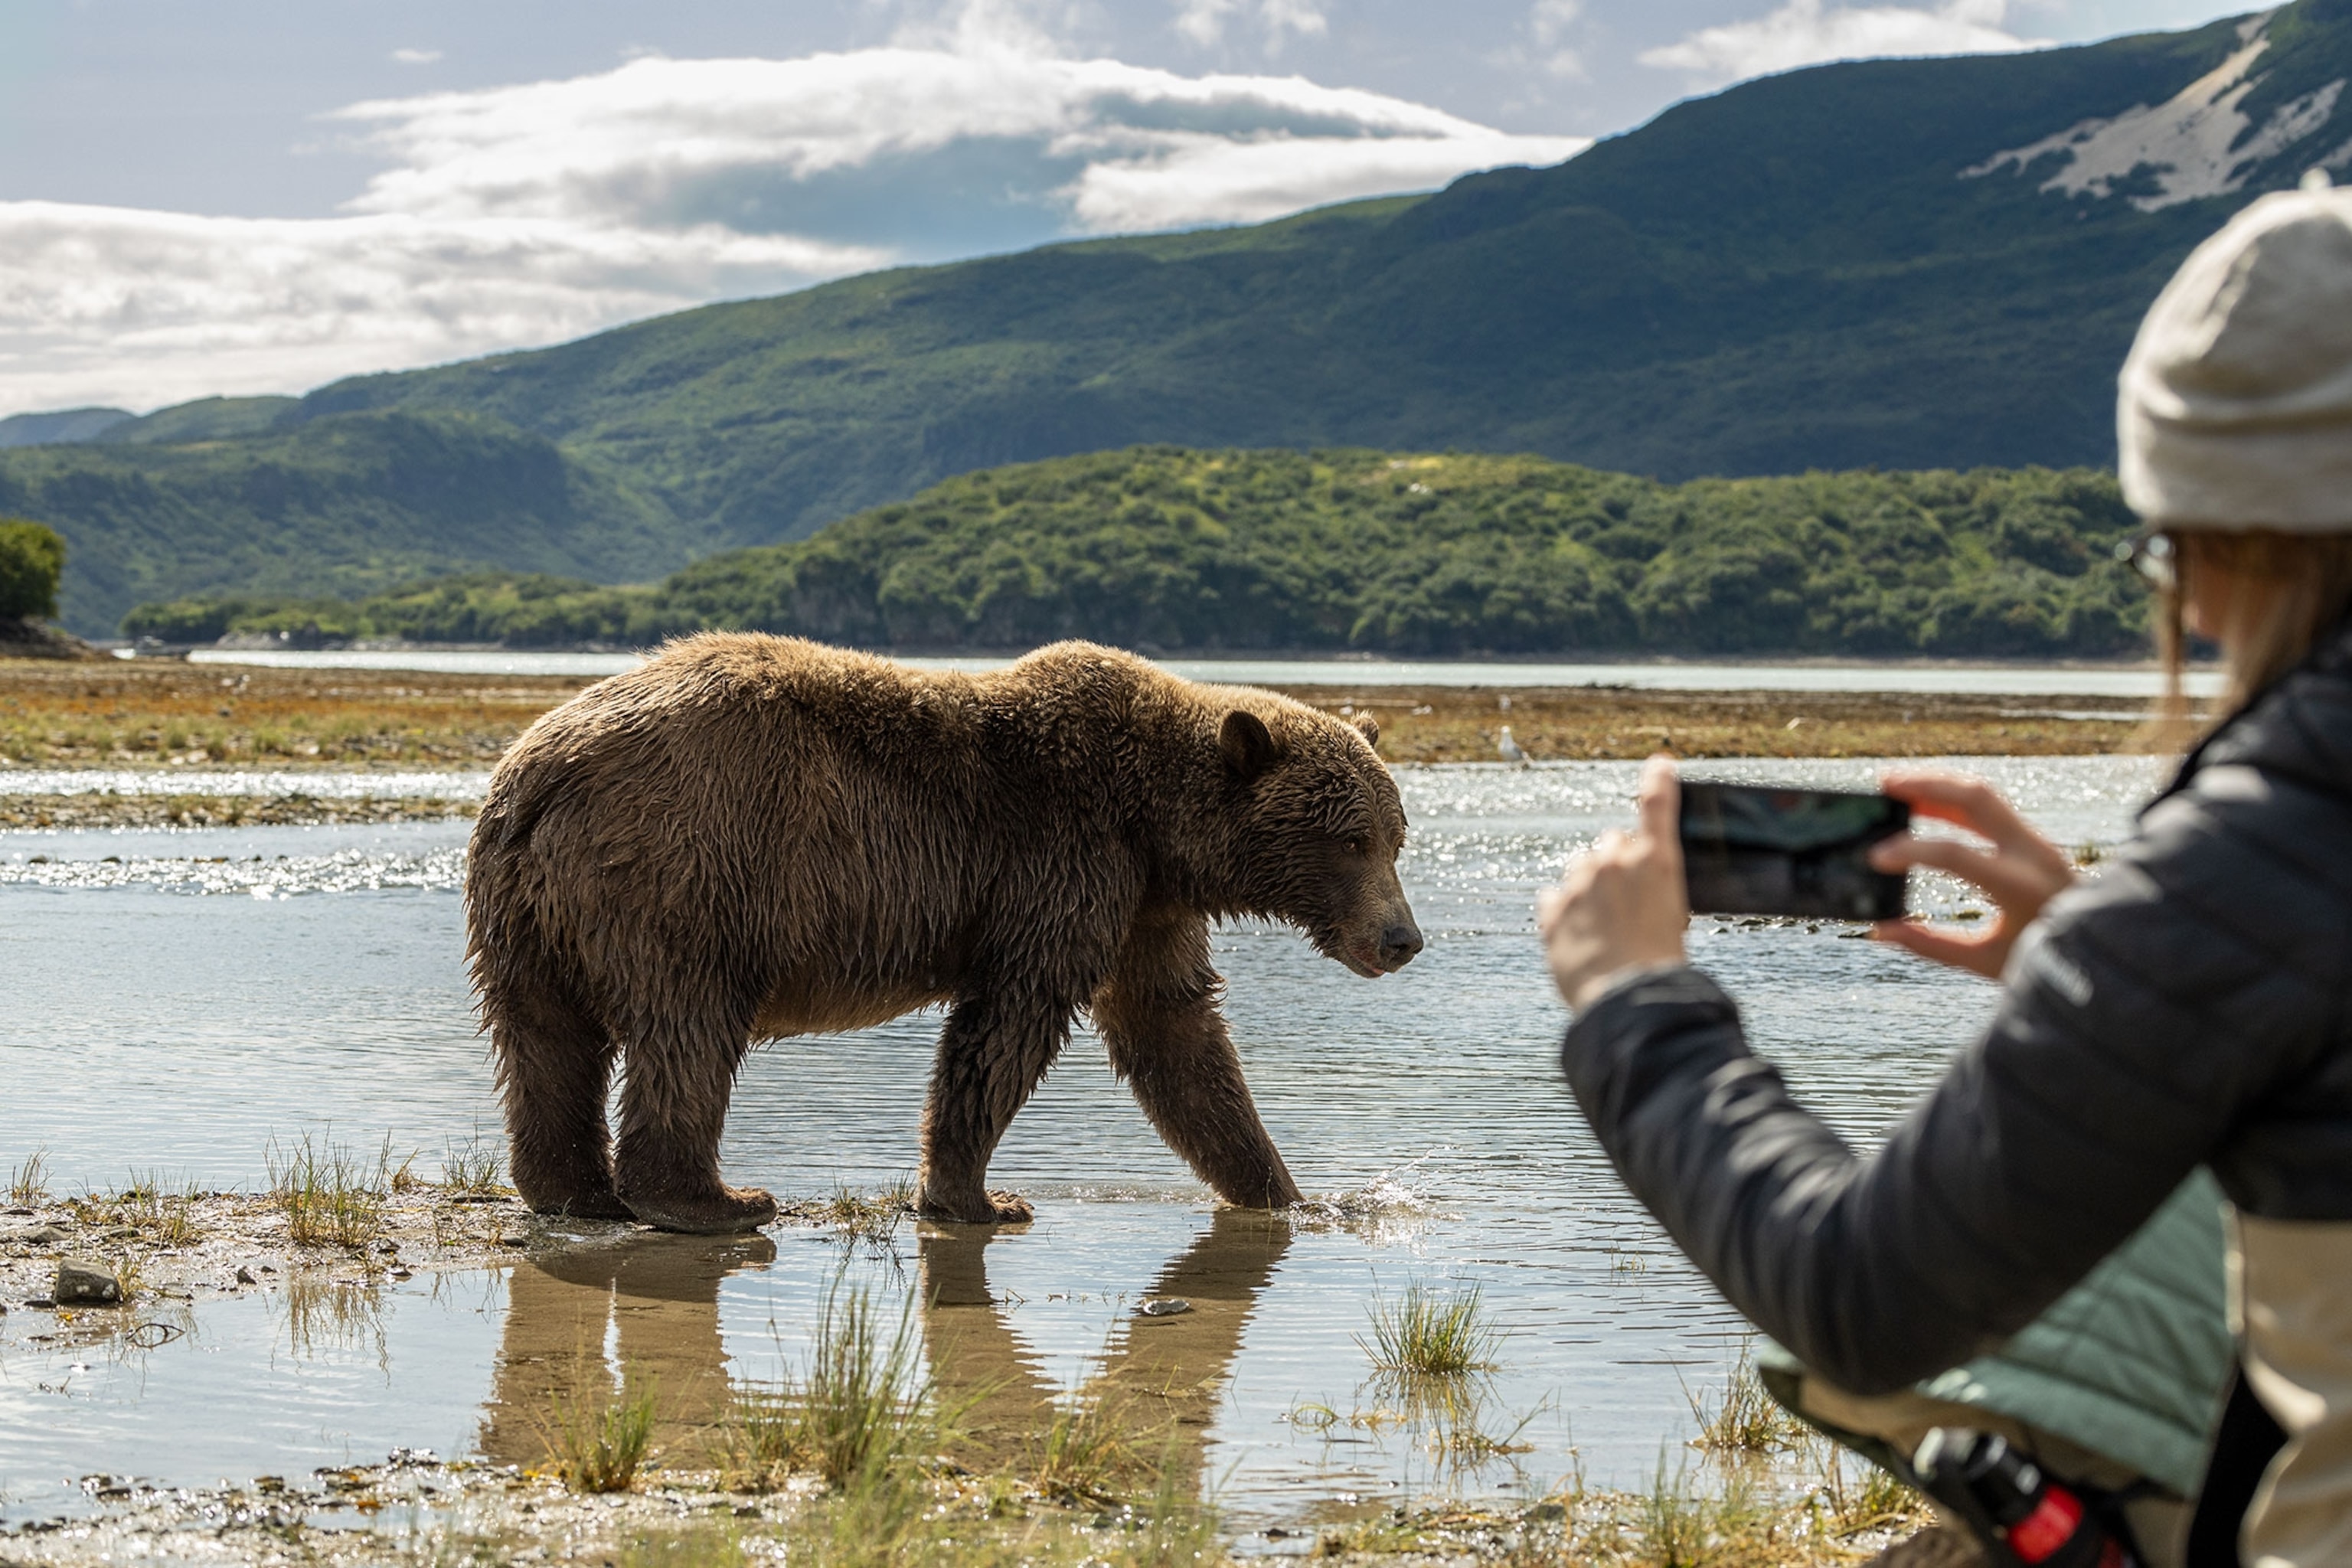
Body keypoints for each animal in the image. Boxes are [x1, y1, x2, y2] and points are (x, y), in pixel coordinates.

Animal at [465, 634, 1422, 1234]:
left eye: (1395, 832)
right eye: (1350, 839)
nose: (1403, 937)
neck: (1158, 827)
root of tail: (543, 772)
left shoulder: (1146, 907)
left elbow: (1179, 1034)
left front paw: (1286, 1190)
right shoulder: (1060, 861)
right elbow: (1007, 1026)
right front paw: (981, 1197)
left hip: (528, 912)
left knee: (547, 1042)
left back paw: (573, 1190)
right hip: (698, 866)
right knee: (691, 1026)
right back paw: (714, 1199)